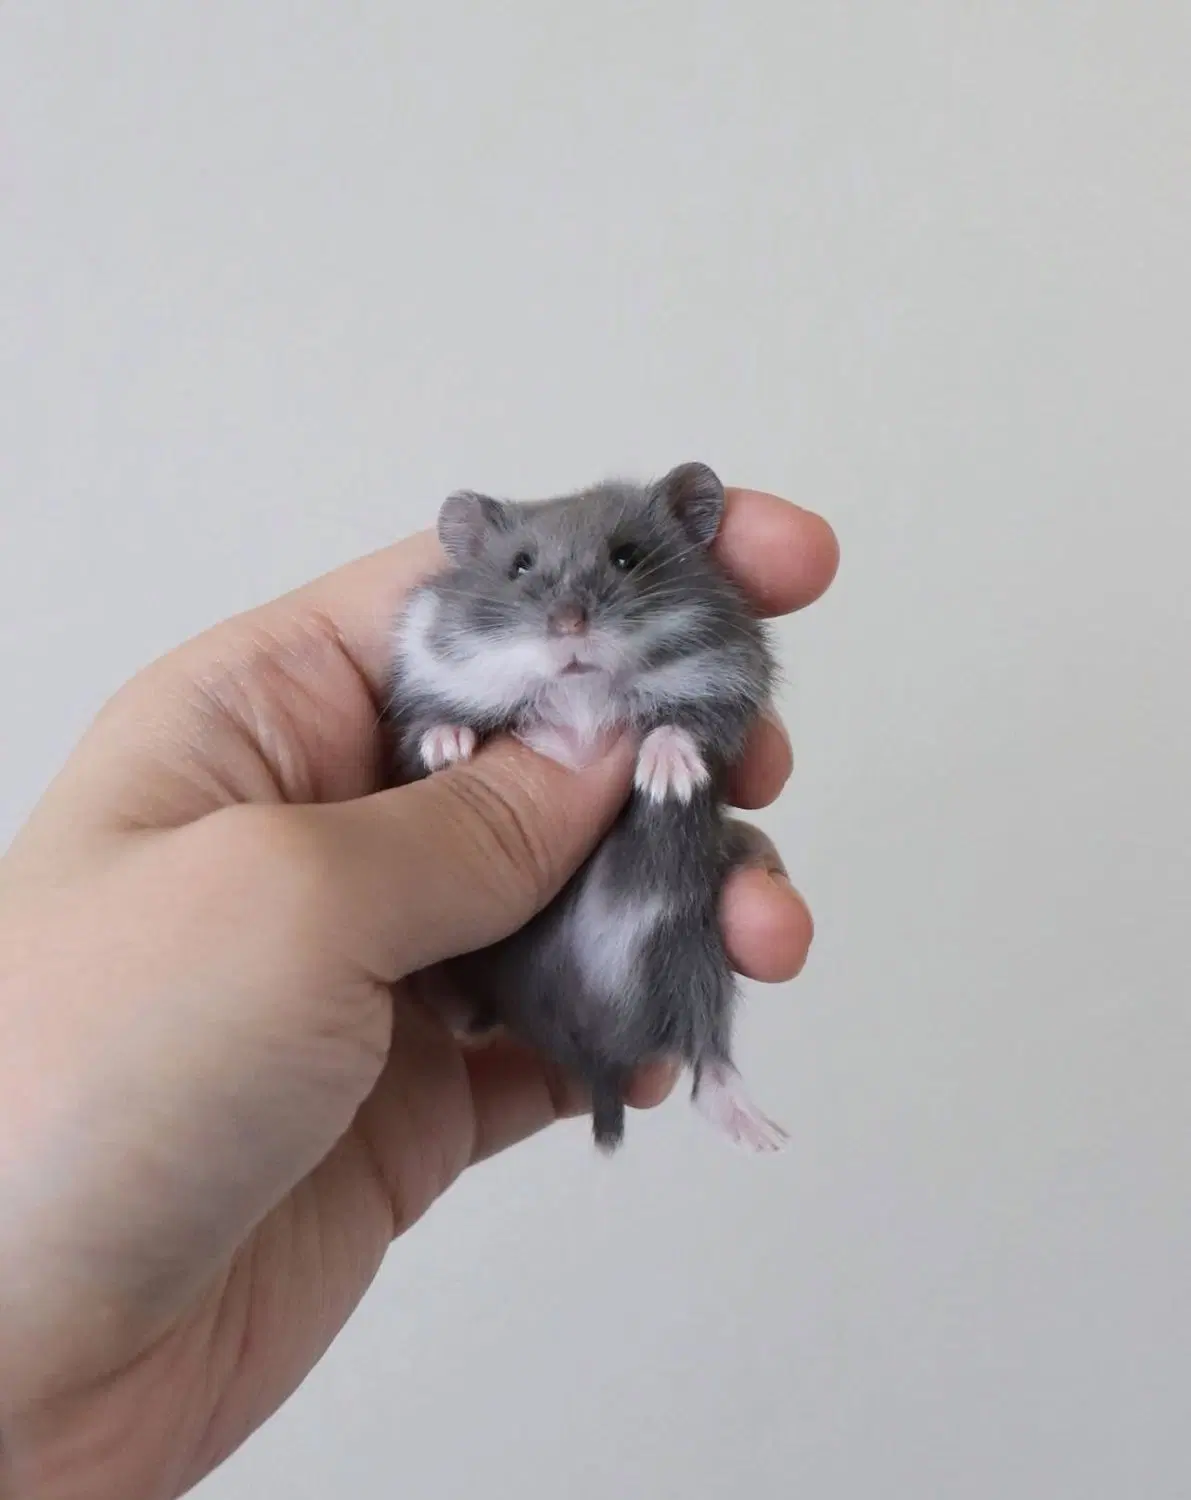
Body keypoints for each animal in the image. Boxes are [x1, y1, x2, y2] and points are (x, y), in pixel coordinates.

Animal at [388, 462, 789, 1154]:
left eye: (627, 556)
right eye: (519, 565)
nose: (570, 625)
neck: (580, 691)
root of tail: (596, 1048)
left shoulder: (730, 679)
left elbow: (686, 726)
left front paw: (668, 779)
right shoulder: (423, 683)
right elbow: (428, 729)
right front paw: (453, 750)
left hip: (696, 954)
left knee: (708, 1054)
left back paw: (765, 1135)